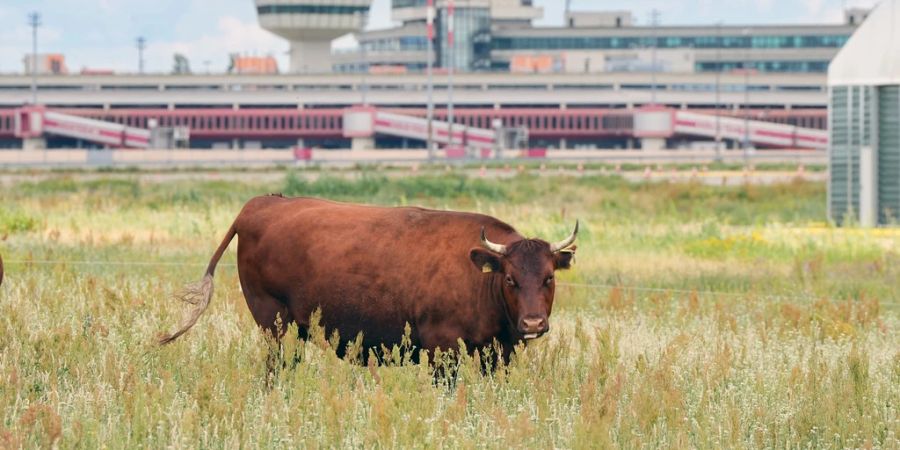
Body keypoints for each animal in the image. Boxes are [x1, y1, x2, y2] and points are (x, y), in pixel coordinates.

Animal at [158, 195, 580, 364]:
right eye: (510, 279)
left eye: (548, 278)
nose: (533, 323)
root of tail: (262, 203)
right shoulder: (442, 350)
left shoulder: (500, 352)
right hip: (273, 322)